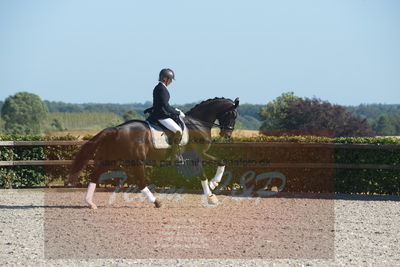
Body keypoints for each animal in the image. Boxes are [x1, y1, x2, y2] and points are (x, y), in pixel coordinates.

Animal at [68, 97, 241, 210]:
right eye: (232, 114)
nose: (227, 134)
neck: (197, 123)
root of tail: (116, 129)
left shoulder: (201, 154)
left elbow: (221, 161)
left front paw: (214, 184)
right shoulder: (196, 156)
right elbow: (203, 174)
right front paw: (211, 196)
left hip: (112, 159)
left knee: (95, 175)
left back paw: (90, 203)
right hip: (136, 161)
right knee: (140, 182)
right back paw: (156, 202)